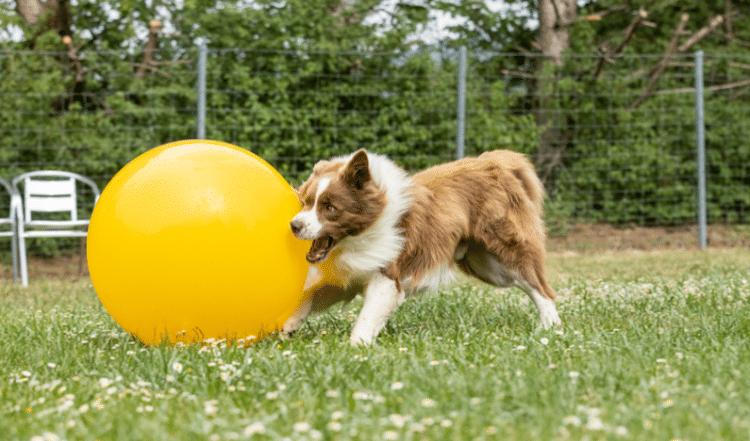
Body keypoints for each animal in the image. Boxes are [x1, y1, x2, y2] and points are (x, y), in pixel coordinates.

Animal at [284, 148, 560, 344]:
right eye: (306, 202)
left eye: (330, 207)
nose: (294, 225)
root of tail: (496, 163)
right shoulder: (347, 275)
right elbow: (308, 295)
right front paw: (288, 325)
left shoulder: (387, 277)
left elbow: (366, 318)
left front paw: (355, 349)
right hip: (486, 265)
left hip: (504, 255)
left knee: (542, 289)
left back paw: (552, 329)